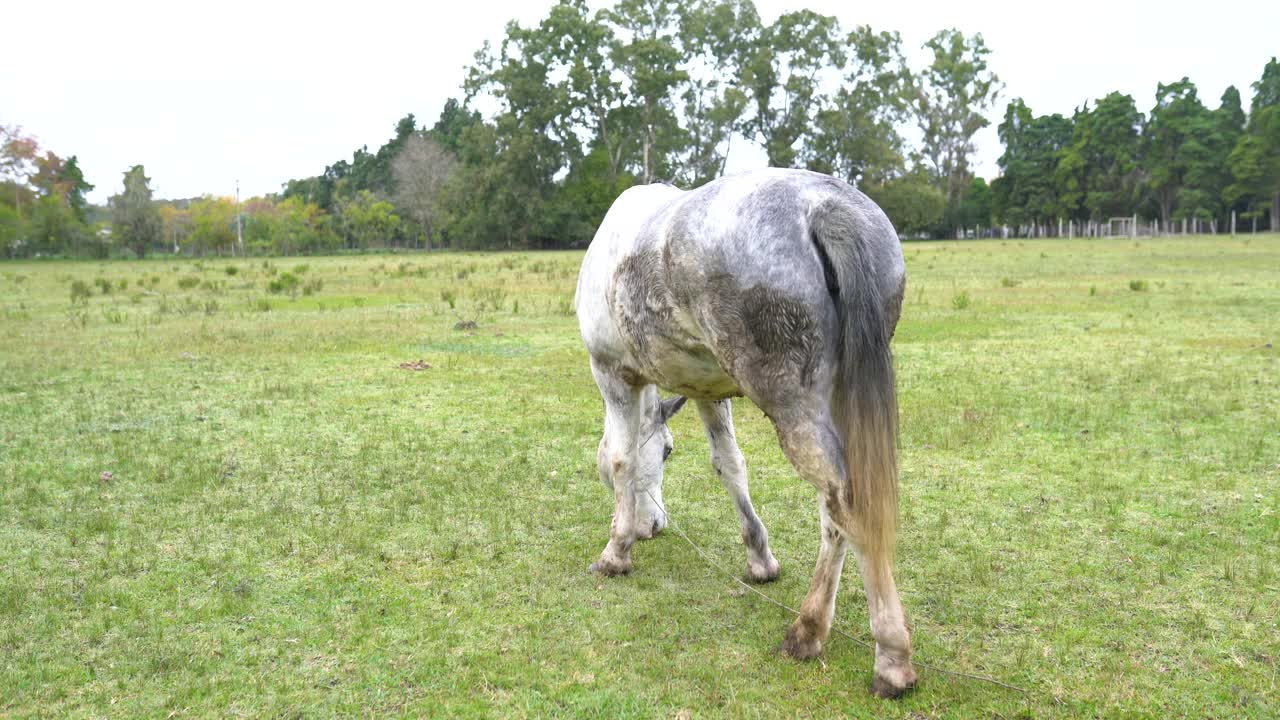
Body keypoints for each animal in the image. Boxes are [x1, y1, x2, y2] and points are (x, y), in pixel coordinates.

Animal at [576, 167, 916, 696]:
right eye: (669, 450)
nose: (653, 526)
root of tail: (825, 207)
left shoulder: (613, 375)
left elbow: (621, 458)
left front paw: (616, 551)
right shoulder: (707, 390)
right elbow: (730, 467)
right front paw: (760, 559)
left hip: (795, 409)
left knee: (843, 507)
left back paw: (867, 649)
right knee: (837, 515)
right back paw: (814, 629)